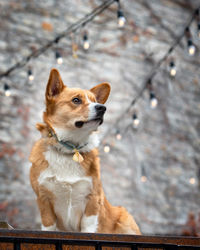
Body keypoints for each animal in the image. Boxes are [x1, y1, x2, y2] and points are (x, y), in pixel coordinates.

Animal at [29, 68, 141, 234]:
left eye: (96, 101)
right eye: (76, 100)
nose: (102, 108)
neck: (69, 148)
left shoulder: (92, 198)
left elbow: (88, 227)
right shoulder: (43, 198)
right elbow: (48, 225)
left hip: (125, 218)